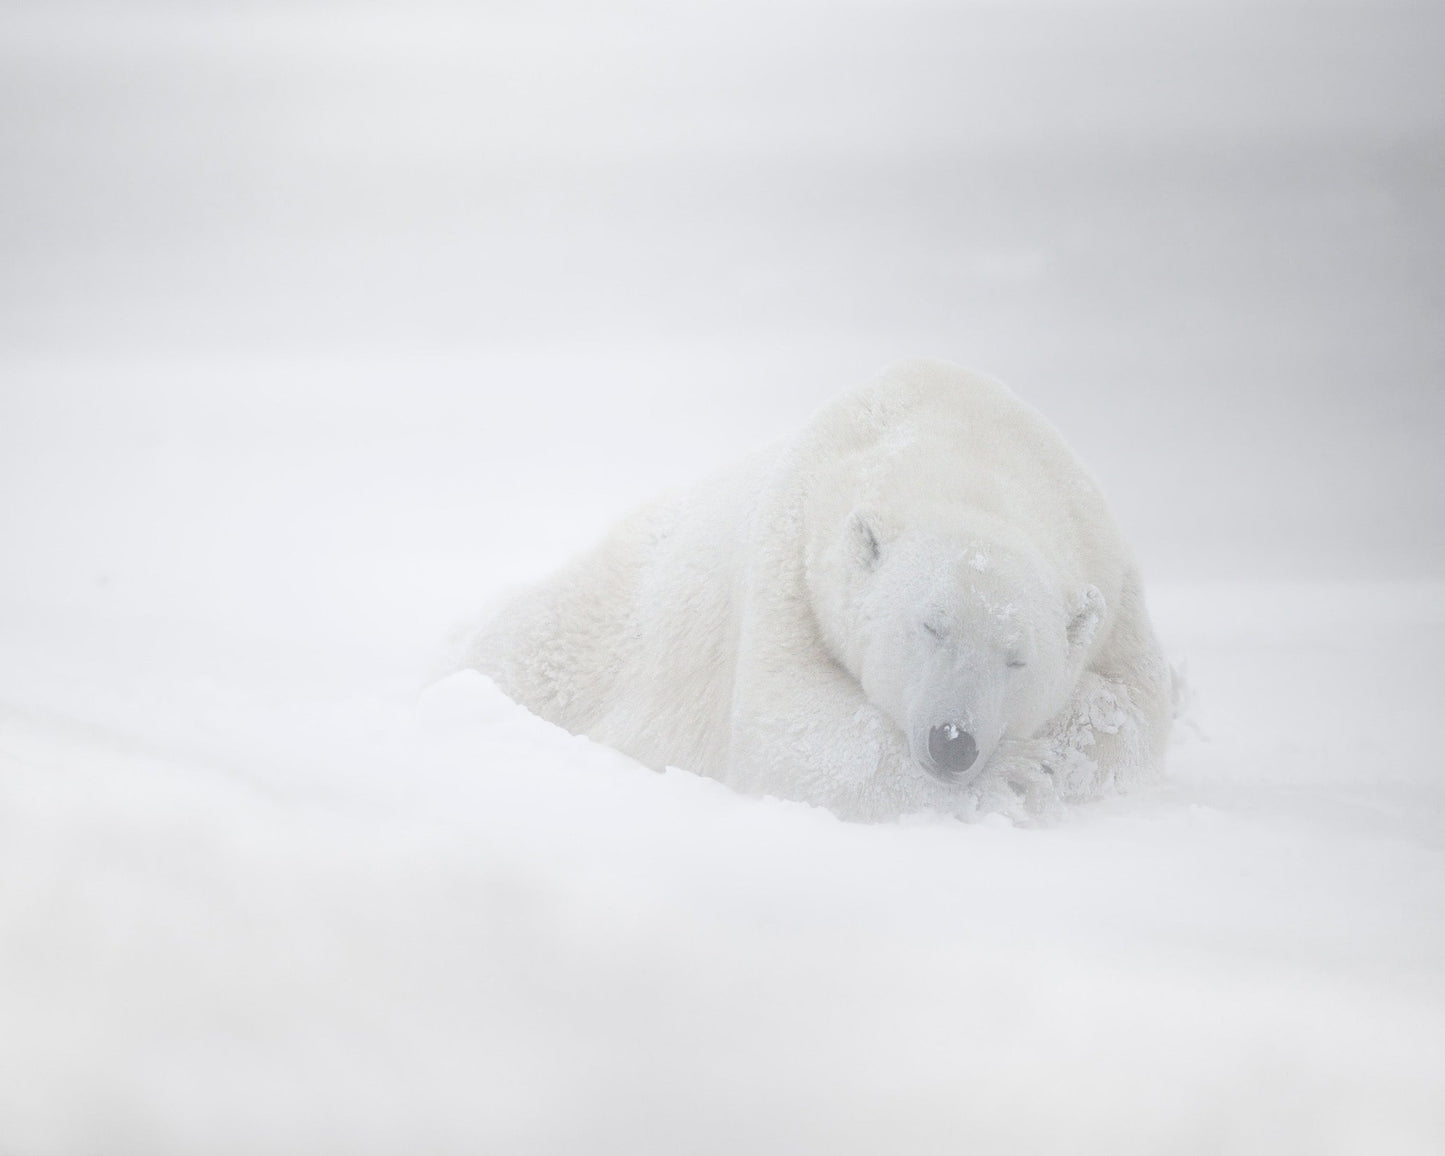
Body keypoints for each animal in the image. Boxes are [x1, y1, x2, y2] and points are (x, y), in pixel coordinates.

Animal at [465, 358, 1173, 823]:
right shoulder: (792, 555)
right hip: (598, 629)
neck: (969, 445)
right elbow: (788, 727)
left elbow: (1136, 710)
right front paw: (1015, 772)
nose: (953, 741)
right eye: (929, 625)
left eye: (1016, 658)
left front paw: (1052, 757)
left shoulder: (1110, 572)